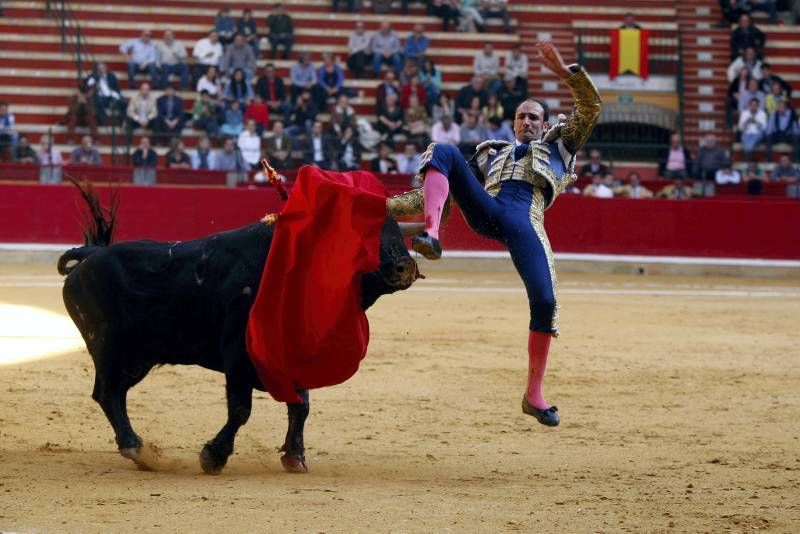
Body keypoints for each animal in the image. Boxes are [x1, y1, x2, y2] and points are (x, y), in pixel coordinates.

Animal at [59, 207, 422, 476]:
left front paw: (294, 456)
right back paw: (136, 447)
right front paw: (213, 457)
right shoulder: (237, 358)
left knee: (114, 394)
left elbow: (301, 406)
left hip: (138, 357)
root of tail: (92, 255)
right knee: (107, 393)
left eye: (397, 233)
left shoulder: (294, 358)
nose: (404, 266)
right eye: (361, 235)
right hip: (111, 348)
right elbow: (241, 410)